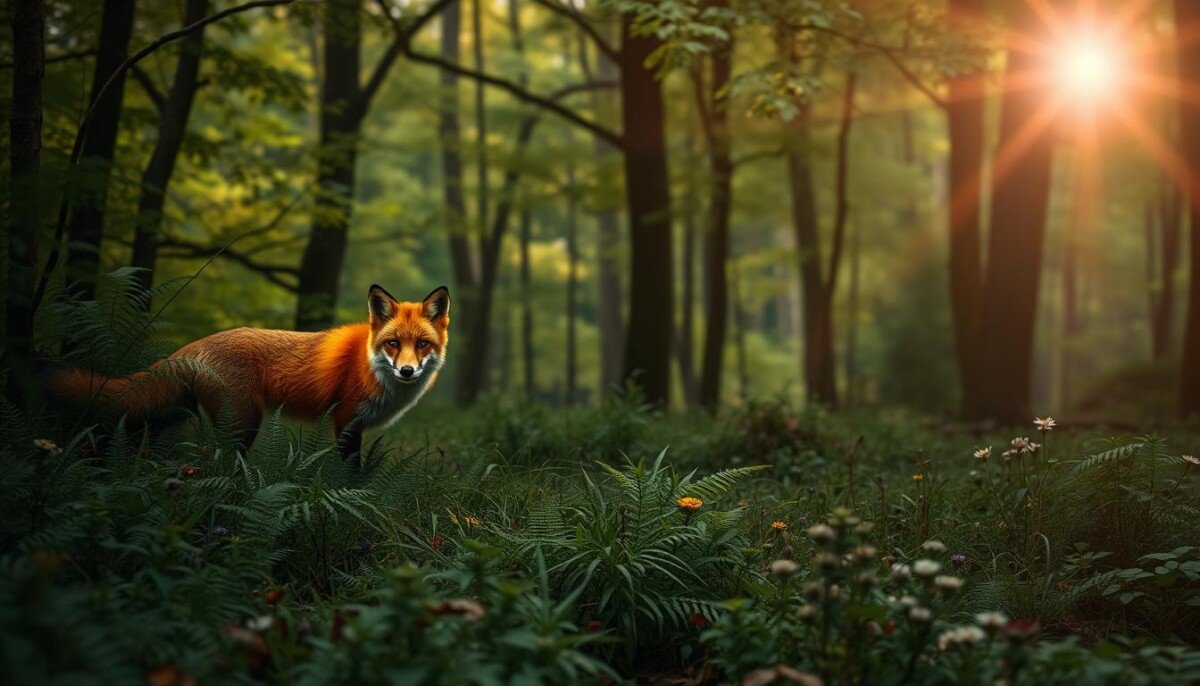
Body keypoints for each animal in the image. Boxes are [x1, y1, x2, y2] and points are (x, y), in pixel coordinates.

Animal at [49, 285, 450, 466]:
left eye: (422, 344)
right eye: (393, 343)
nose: (408, 371)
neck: (369, 363)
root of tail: (192, 346)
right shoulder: (347, 421)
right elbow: (352, 472)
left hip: (169, 414)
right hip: (244, 423)